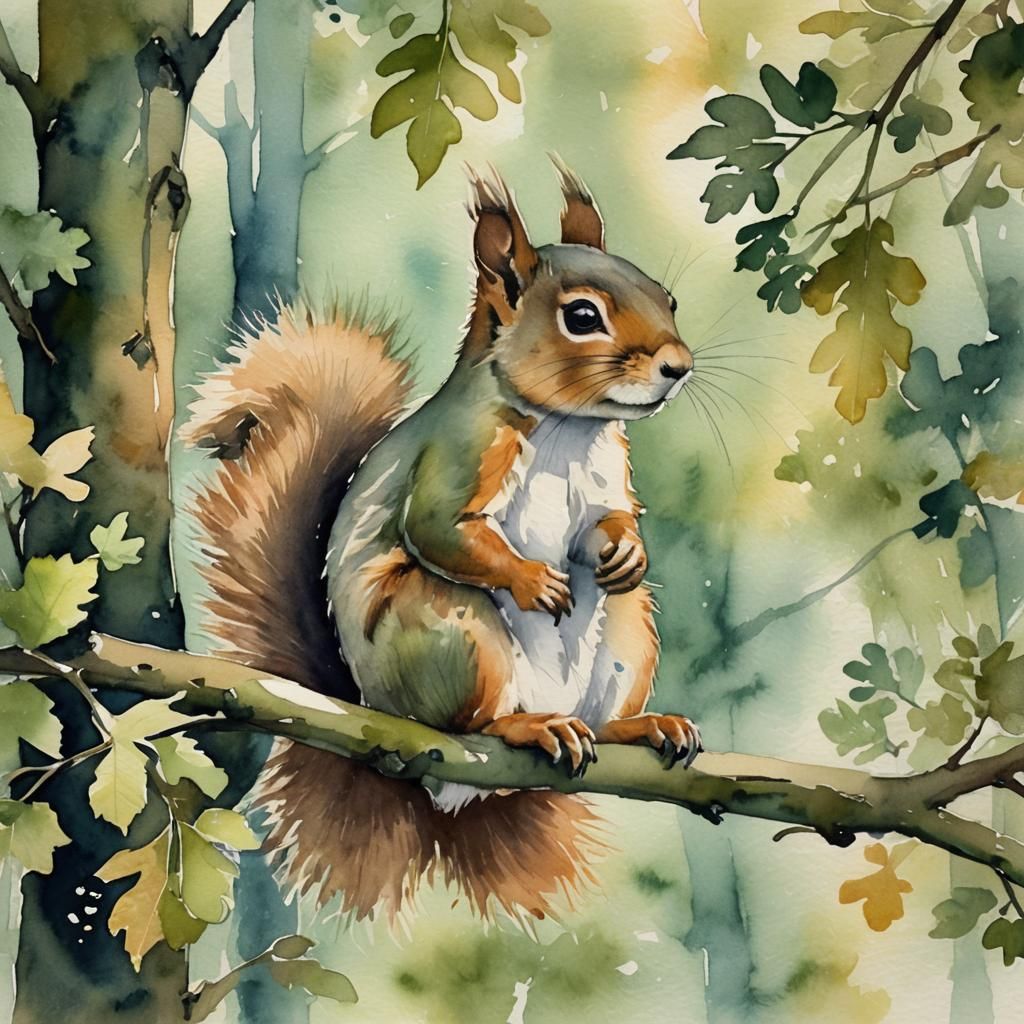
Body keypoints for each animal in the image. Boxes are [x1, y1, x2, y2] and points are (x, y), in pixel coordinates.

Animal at [183, 163, 701, 924]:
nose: (678, 366)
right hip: (452, 633)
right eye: (582, 317)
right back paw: (528, 728)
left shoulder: (609, 475)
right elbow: (438, 529)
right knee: (473, 722)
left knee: (606, 691)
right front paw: (533, 581)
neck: (567, 427)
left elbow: (610, 520)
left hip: (629, 639)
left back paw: (635, 728)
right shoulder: (458, 453)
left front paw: (627, 551)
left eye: (667, 297)